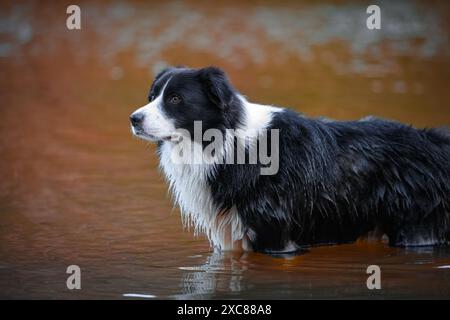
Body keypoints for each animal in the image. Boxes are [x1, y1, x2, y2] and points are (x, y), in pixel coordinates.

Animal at [130, 66, 450, 254]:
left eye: (175, 99)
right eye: (152, 96)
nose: (134, 119)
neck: (223, 142)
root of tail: (435, 140)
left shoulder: (275, 234)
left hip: (418, 226)